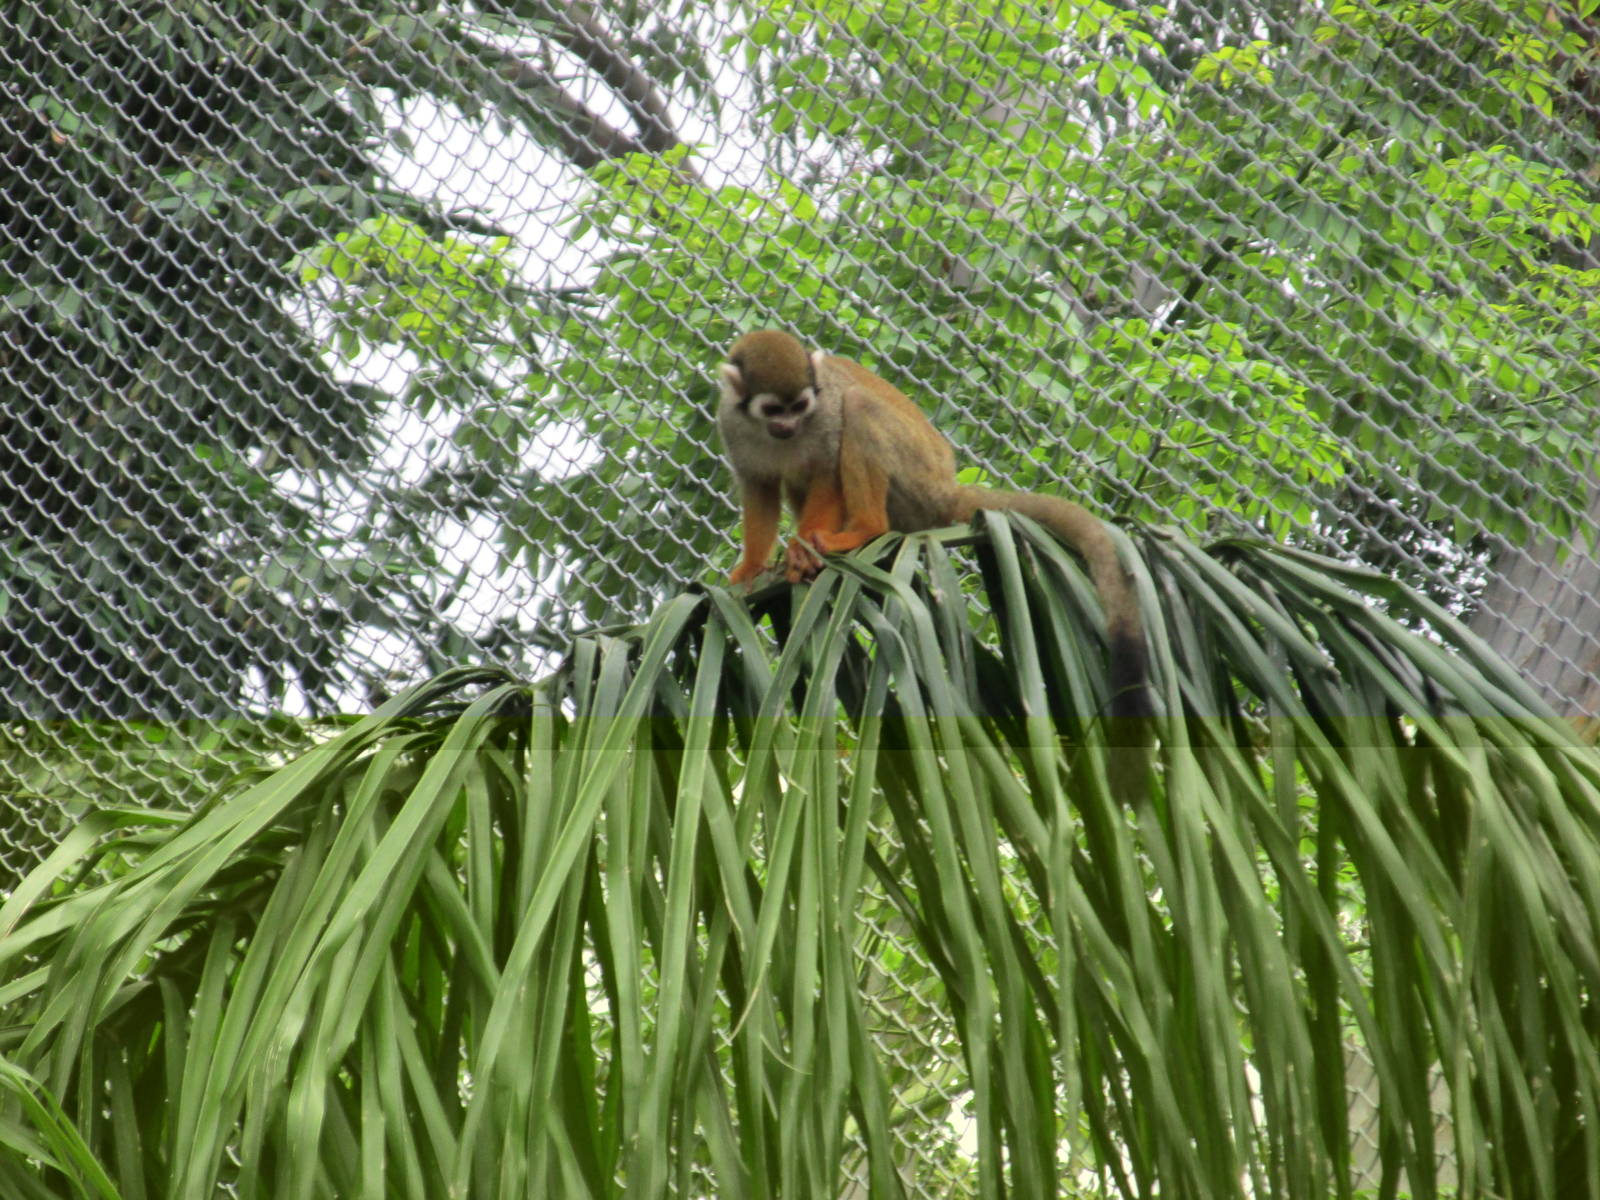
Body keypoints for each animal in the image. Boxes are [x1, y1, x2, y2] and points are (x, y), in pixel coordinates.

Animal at [716, 328, 1150, 722]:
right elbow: (759, 487)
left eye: (800, 405)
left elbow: (828, 469)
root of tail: (946, 488)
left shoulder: (824, 413)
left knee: (858, 406)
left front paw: (804, 545)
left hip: (916, 476)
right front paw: (751, 567)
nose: (789, 426)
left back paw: (864, 530)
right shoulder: (731, 424)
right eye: (775, 411)